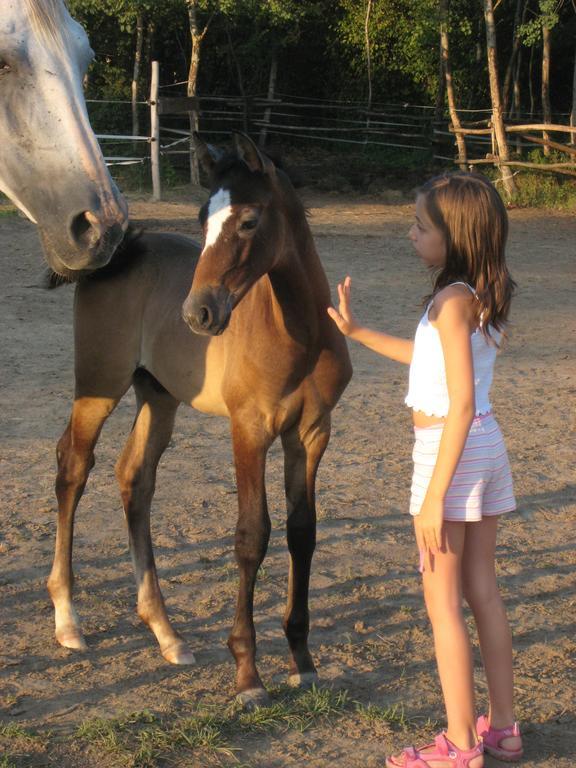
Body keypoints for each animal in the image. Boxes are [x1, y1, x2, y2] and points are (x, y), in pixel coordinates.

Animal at [49, 134, 354, 708]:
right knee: (73, 468)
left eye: (249, 221)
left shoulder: (310, 434)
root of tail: (120, 252)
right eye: (200, 217)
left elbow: (302, 533)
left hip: (158, 396)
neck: (298, 333)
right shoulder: (250, 429)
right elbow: (252, 536)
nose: (198, 314)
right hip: (99, 386)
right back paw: (68, 620)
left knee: (134, 479)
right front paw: (248, 675)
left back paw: (166, 633)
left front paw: (303, 661)